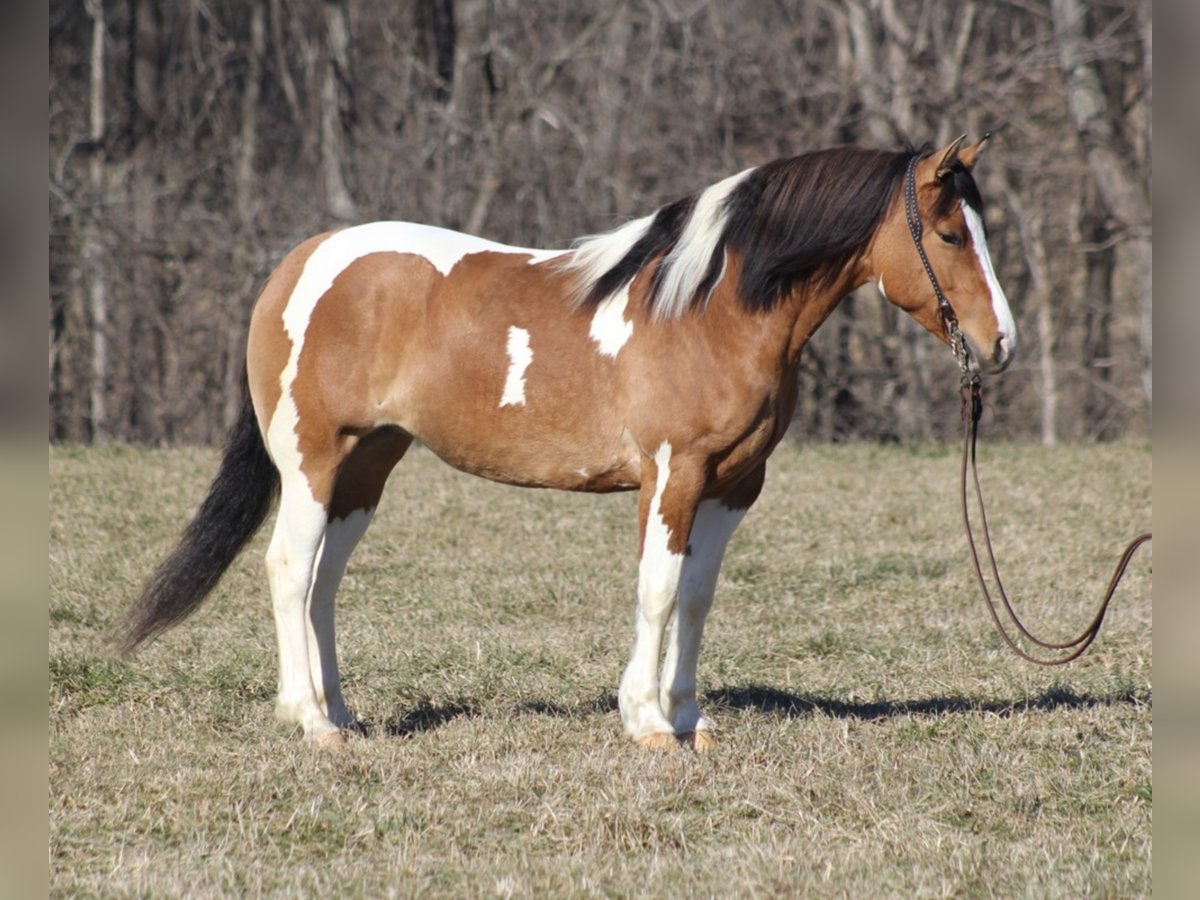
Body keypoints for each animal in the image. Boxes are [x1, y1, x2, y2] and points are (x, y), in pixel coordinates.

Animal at [114, 135, 1012, 753]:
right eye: (951, 235)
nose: (1000, 344)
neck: (710, 309)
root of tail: (298, 265)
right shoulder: (673, 475)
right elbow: (658, 590)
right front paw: (647, 722)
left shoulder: (732, 485)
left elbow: (697, 597)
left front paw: (692, 718)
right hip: (314, 456)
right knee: (288, 568)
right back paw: (312, 722)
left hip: (368, 464)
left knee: (324, 583)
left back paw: (343, 712)